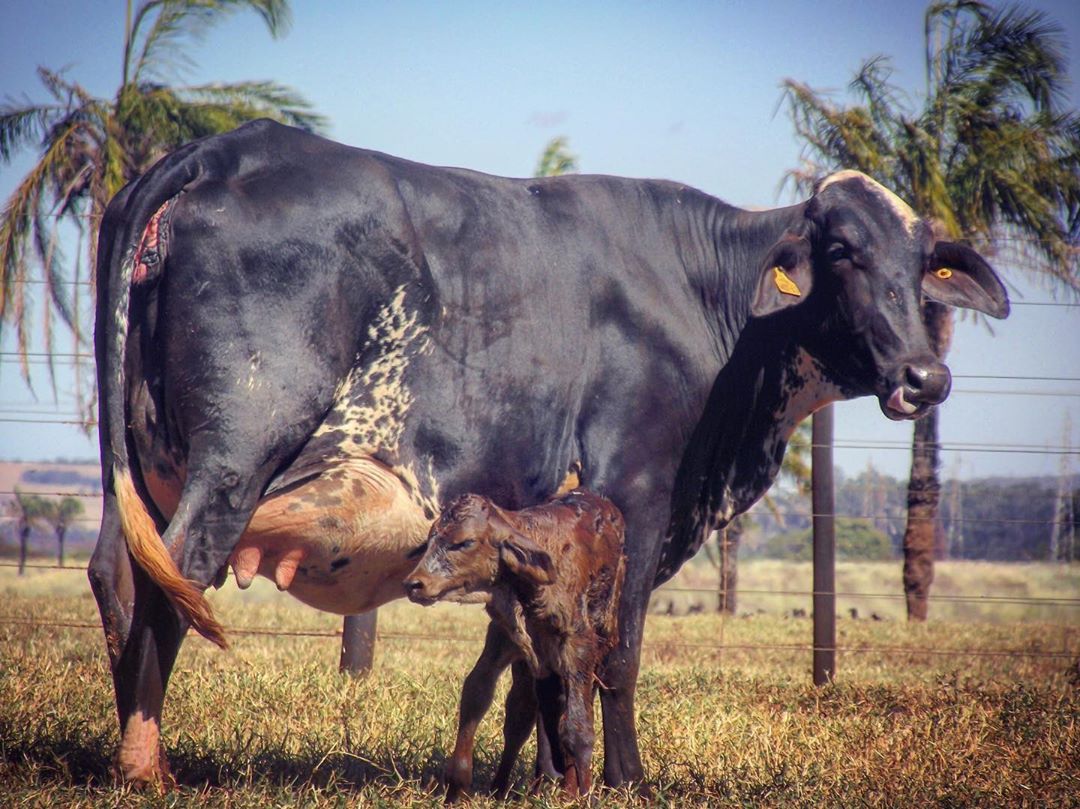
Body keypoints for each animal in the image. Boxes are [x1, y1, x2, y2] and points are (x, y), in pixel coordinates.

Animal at [406, 486, 626, 794]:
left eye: (464, 542)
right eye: (431, 539)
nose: (414, 584)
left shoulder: (578, 646)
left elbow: (578, 728)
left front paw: (582, 794)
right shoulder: (502, 639)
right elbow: (476, 694)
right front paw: (457, 787)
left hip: (600, 637)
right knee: (524, 713)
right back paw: (502, 789)